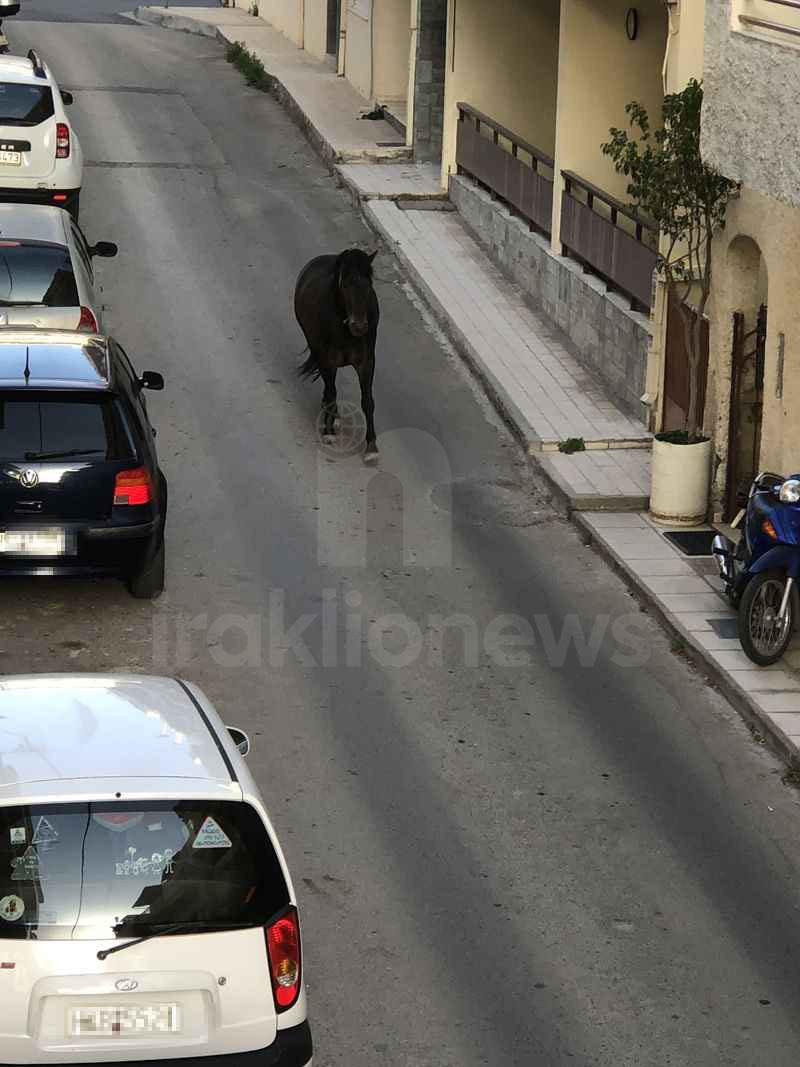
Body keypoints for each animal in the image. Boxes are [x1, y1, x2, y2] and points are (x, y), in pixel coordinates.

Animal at [296, 247, 379, 460]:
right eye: (346, 284)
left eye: (369, 284)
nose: (360, 327)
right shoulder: (327, 359)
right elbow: (332, 391)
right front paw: (329, 432)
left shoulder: (367, 363)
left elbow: (367, 400)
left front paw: (372, 448)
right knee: (329, 389)